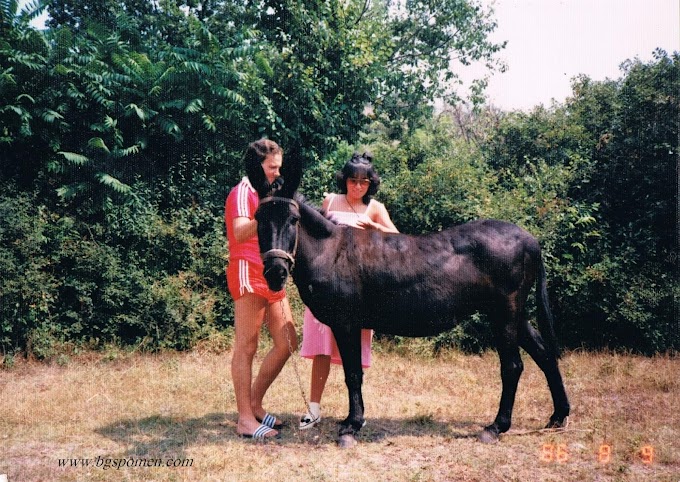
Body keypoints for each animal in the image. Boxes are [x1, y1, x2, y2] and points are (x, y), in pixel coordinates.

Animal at [254, 174, 568, 448]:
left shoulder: (346, 324)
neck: (331, 252)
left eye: (293, 220)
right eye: (258, 220)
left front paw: (351, 427)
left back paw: (496, 427)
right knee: (544, 354)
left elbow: (353, 374)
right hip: (513, 314)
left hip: (504, 313)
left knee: (512, 366)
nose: (275, 273)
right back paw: (558, 416)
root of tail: (529, 239)